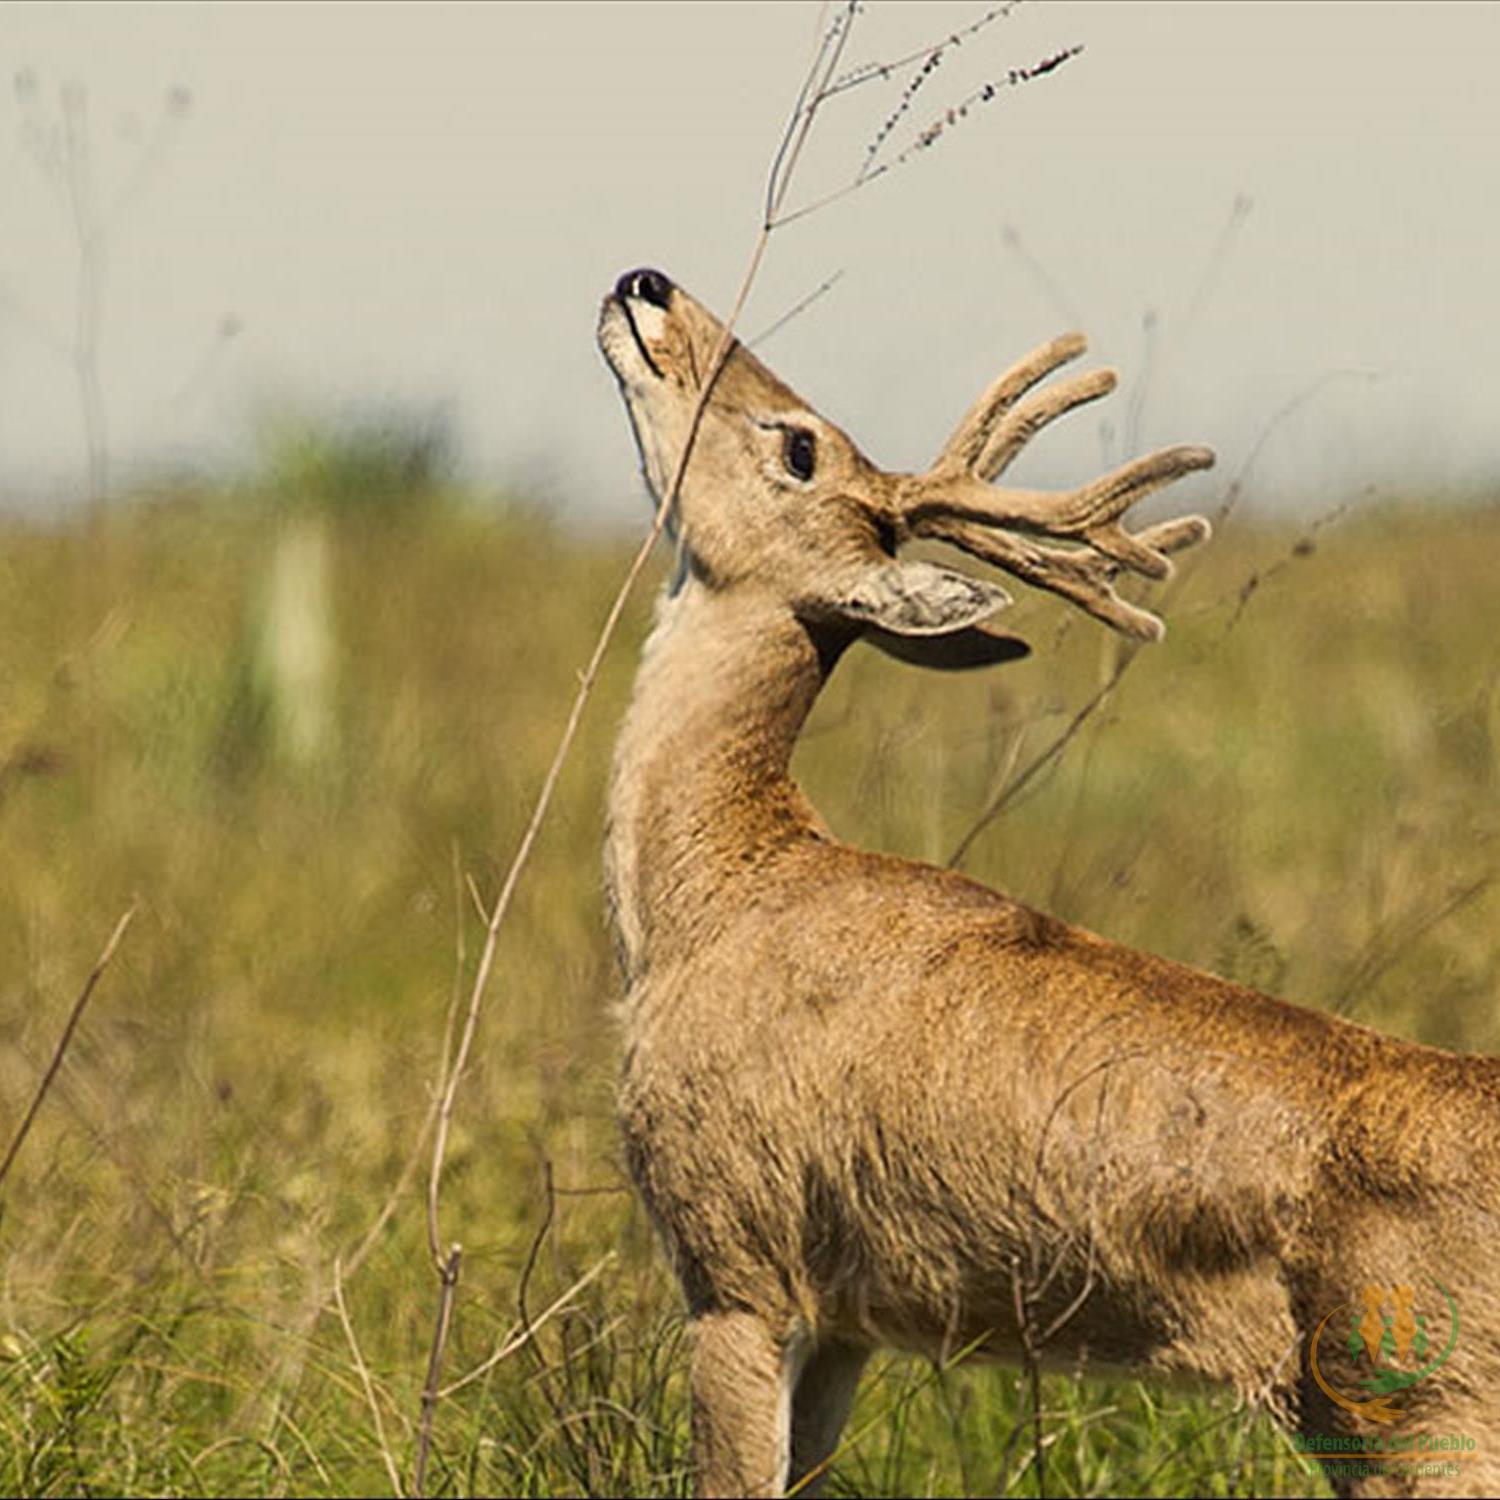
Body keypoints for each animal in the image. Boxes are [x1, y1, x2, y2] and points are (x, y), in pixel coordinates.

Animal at [597, 270, 1500, 1500]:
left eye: (800, 446)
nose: (648, 285)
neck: (712, 889)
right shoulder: (846, 1318)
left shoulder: (734, 1254)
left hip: (1429, 1409)